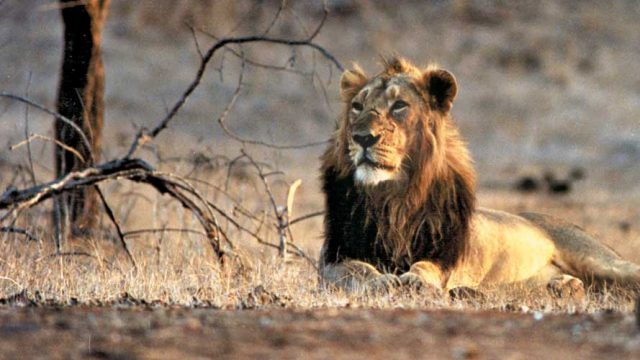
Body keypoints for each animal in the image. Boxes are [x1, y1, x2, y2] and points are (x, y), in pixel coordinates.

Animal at [318, 57, 640, 296]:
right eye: (357, 106)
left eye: (399, 106)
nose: (362, 137)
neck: (394, 197)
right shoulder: (332, 259)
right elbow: (357, 269)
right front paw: (381, 280)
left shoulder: (446, 255)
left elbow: (426, 266)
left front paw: (416, 280)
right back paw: (563, 287)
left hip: (600, 261)